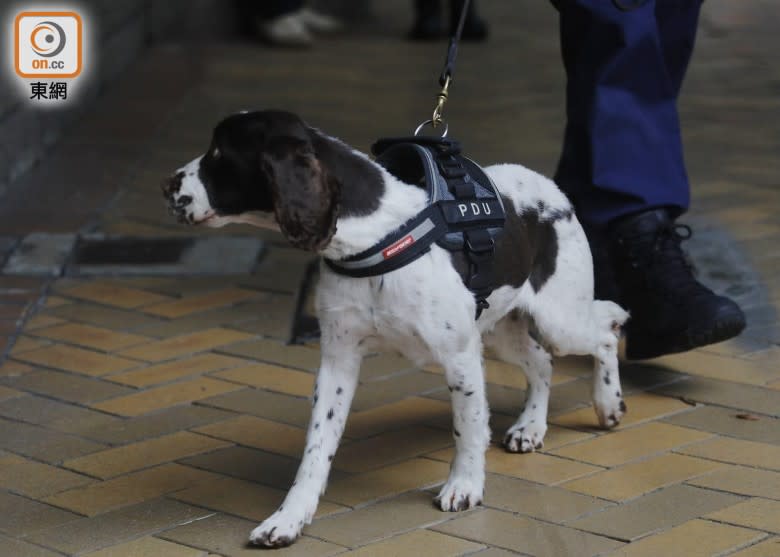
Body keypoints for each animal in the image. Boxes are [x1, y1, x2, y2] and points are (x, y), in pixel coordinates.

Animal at [161, 111, 632, 544]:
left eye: (219, 154)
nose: (166, 186)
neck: (374, 237)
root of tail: (550, 188)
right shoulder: (337, 360)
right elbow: (316, 449)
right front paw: (289, 518)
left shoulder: (460, 356)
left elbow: (467, 428)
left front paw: (464, 486)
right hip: (501, 330)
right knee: (541, 362)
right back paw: (530, 427)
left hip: (558, 319)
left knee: (606, 331)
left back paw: (608, 404)